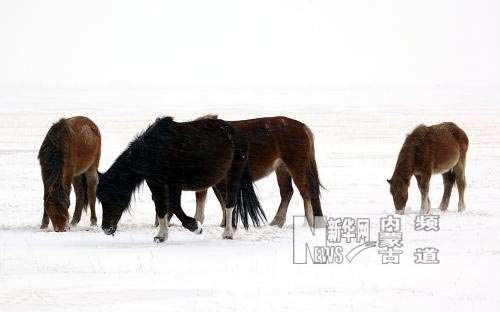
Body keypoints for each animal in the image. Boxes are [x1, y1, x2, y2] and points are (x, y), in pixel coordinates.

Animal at [94, 116, 266, 241]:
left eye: (112, 196)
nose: (106, 228)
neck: (155, 151)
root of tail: (237, 132)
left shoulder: (174, 184)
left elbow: (174, 206)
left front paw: (195, 227)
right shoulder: (156, 185)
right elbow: (161, 208)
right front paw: (161, 236)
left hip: (233, 176)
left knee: (230, 203)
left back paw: (228, 234)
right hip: (220, 181)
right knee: (227, 202)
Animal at [188, 114, 324, 227]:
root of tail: (303, 127)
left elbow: (213, 199)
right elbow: (214, 200)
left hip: (296, 167)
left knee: (306, 193)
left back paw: (308, 223)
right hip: (282, 169)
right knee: (287, 193)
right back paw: (277, 221)